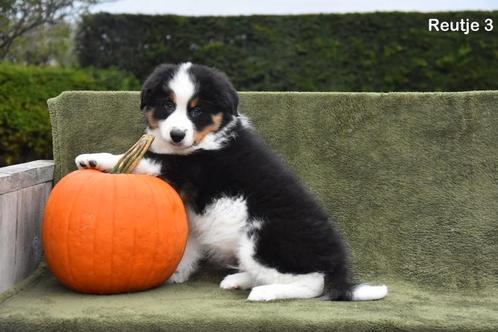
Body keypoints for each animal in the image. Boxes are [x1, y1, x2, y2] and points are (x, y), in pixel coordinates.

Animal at [76, 61, 388, 300]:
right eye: (167, 105)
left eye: (197, 110)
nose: (177, 135)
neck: (202, 142)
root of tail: (337, 264)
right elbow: (186, 247)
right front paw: (175, 273)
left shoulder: (189, 168)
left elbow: (142, 157)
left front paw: (93, 158)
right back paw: (238, 281)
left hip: (262, 236)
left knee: (312, 283)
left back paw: (263, 293)